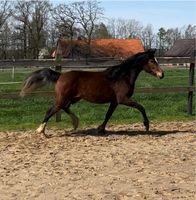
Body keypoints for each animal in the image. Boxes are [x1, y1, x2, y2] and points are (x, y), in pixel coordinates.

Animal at [20, 48, 164, 137]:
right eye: (152, 61)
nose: (161, 75)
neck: (121, 76)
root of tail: (60, 75)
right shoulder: (122, 99)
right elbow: (141, 107)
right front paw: (146, 126)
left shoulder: (114, 101)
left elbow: (108, 115)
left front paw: (100, 129)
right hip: (63, 98)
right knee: (50, 110)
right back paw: (41, 131)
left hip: (72, 98)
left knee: (63, 108)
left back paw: (75, 123)